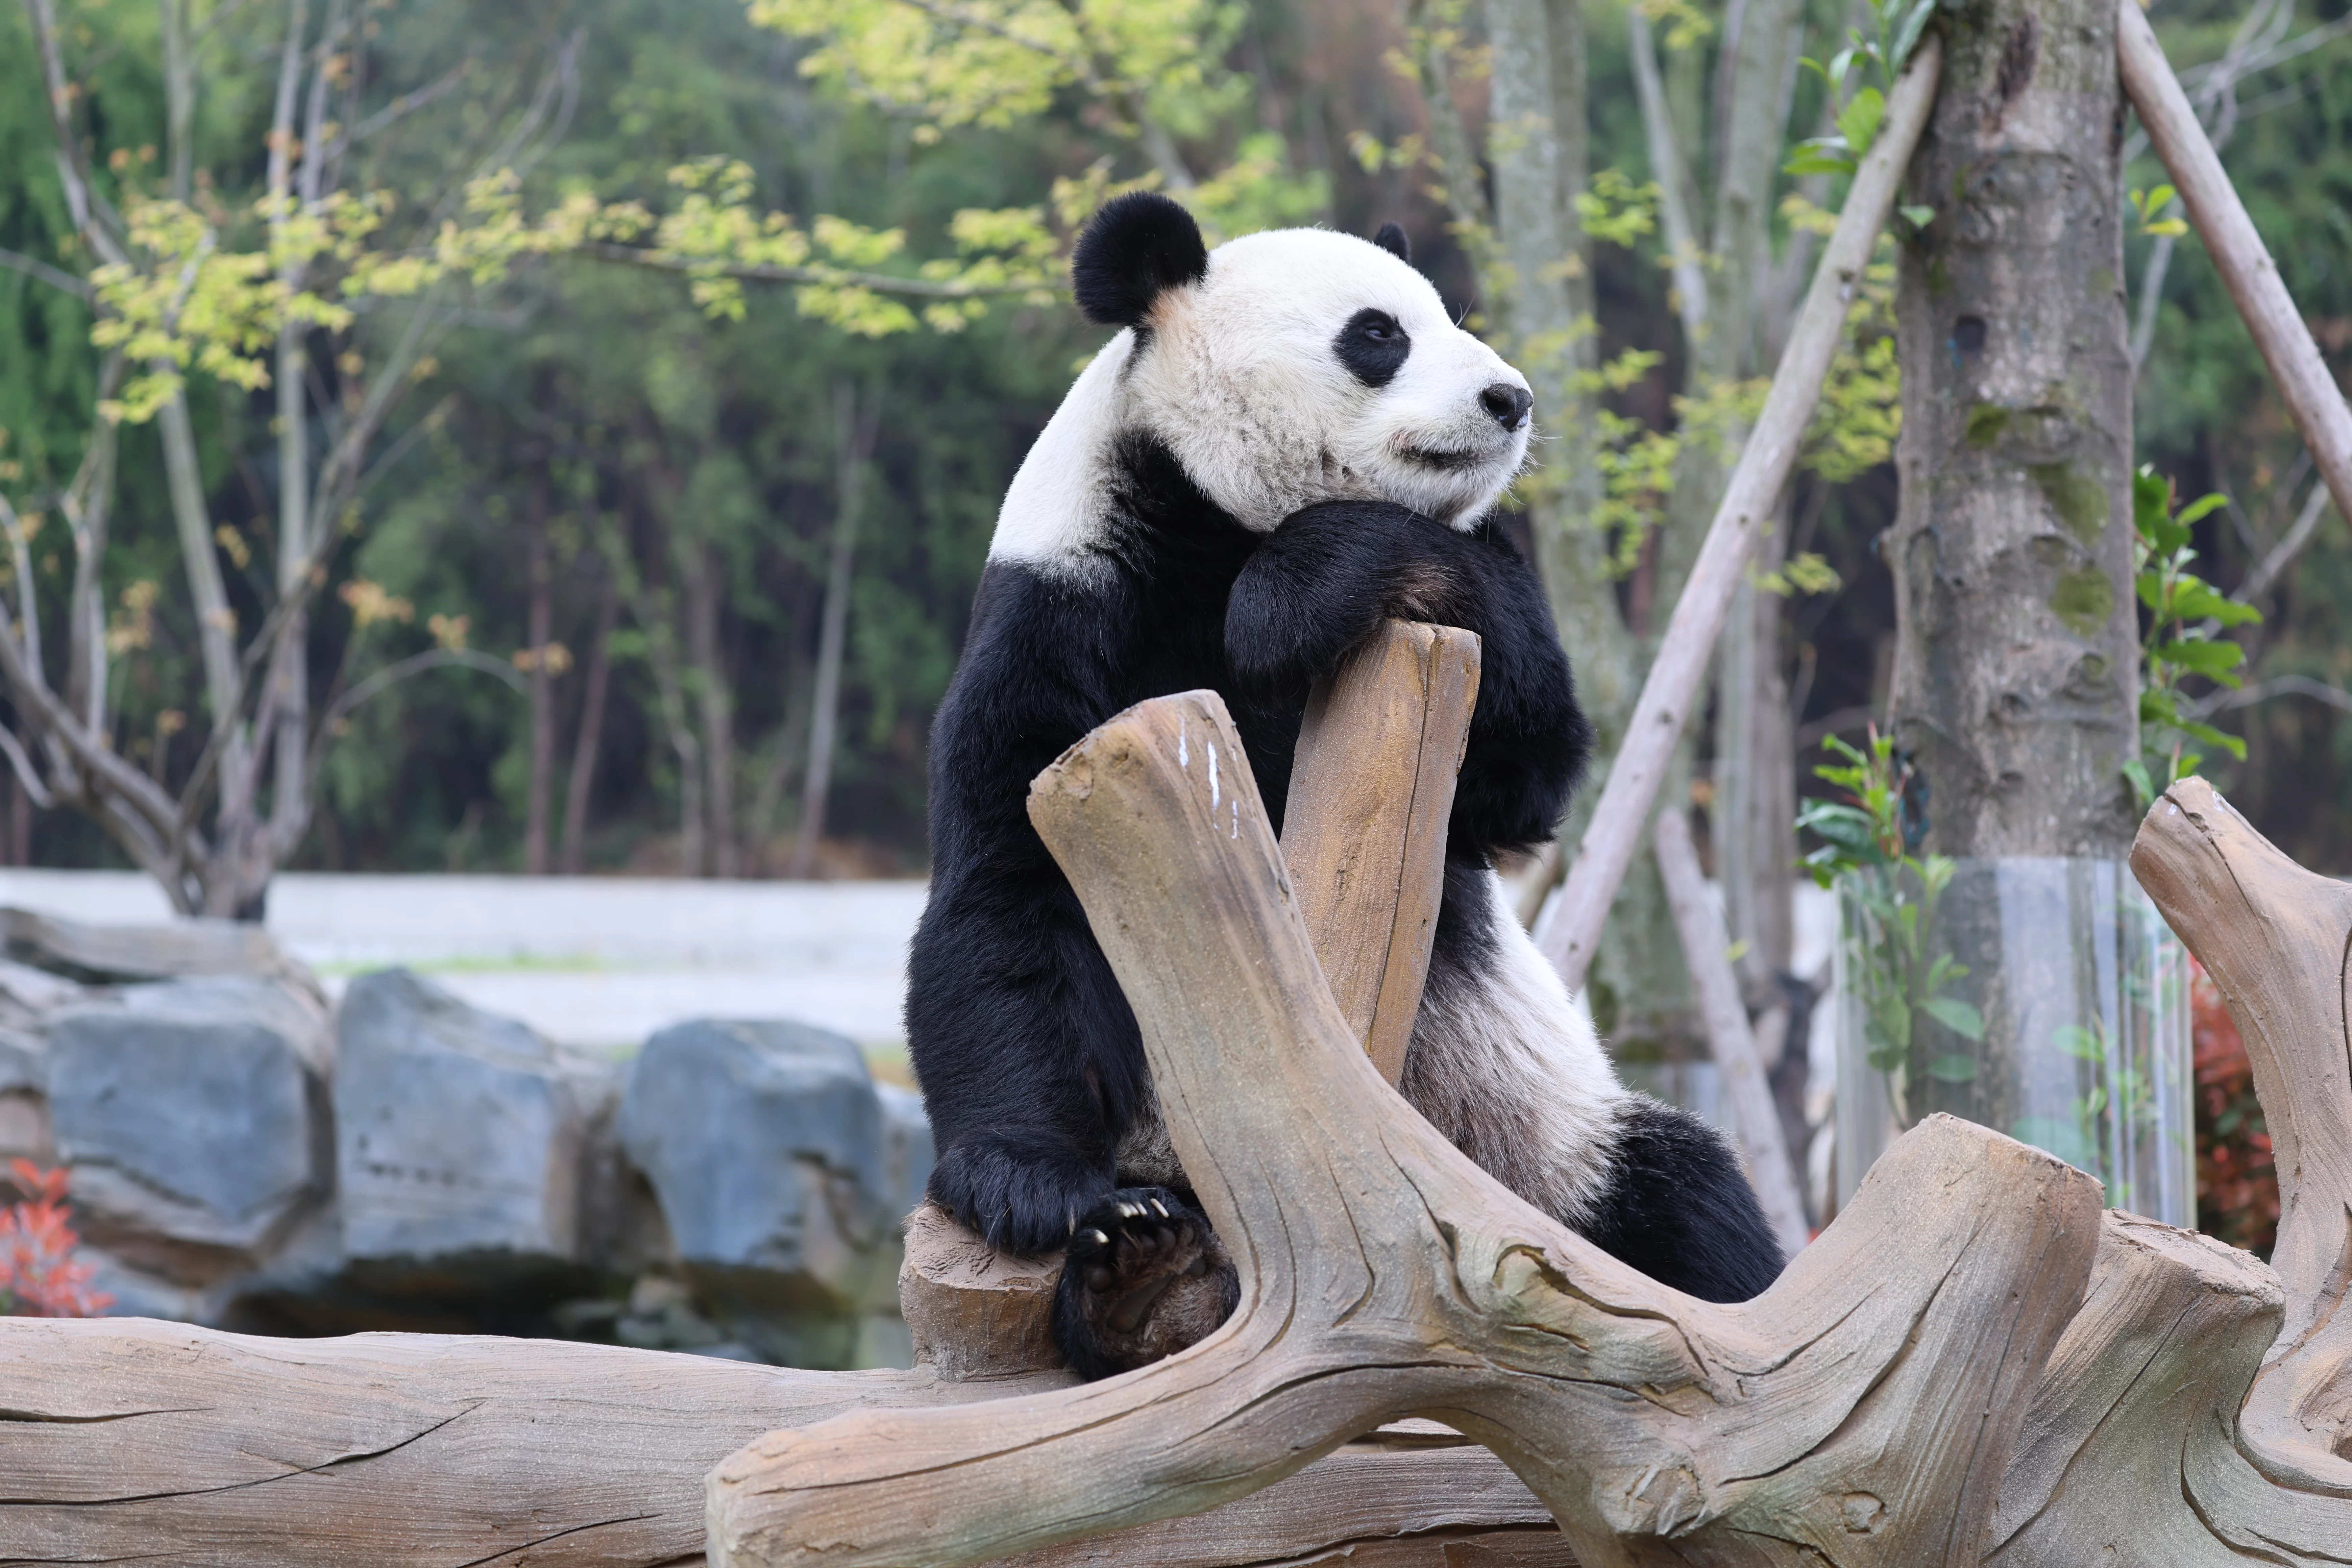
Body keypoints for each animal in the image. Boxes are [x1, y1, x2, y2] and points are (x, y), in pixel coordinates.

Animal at [906, 191, 1784, 1381]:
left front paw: (1297, 597)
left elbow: (1523, 770)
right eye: (1379, 335)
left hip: (1547, 1148)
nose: (1510, 399)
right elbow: (1004, 895)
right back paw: (1141, 1276)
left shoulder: (1466, 613)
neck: (1214, 522)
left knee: (1687, 1208)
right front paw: (1026, 1182)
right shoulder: (1066, 616)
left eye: (1453, 315)